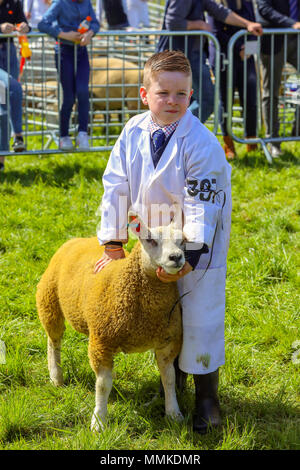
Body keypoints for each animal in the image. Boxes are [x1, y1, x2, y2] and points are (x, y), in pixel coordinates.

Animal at [36, 215, 184, 432]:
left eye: (183, 241)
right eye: (150, 240)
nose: (176, 257)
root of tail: (79, 239)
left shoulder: (167, 342)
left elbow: (169, 379)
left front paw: (174, 413)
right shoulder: (102, 343)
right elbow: (103, 385)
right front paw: (99, 421)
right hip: (48, 300)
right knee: (53, 340)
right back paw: (56, 376)